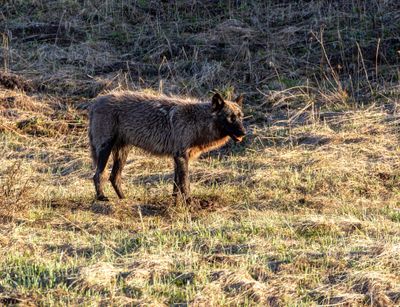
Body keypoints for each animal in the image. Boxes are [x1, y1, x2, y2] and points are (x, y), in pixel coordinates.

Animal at [88, 91, 245, 202]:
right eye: (231, 118)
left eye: (240, 117)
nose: (244, 132)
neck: (197, 121)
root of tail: (96, 101)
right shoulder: (181, 156)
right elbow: (185, 183)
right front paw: (189, 201)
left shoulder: (178, 157)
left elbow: (177, 184)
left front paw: (175, 200)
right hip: (106, 149)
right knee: (98, 175)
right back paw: (101, 197)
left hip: (122, 153)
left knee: (114, 177)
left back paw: (124, 199)